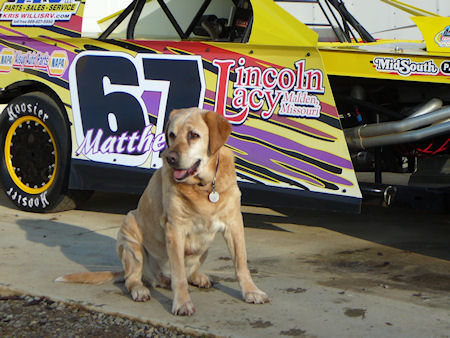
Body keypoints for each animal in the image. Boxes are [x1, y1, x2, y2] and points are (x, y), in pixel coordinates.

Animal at [55, 109, 268, 316]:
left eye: (193, 135)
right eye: (172, 135)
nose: (170, 158)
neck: (204, 187)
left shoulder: (234, 224)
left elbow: (241, 264)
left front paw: (251, 291)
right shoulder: (175, 228)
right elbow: (179, 275)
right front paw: (182, 303)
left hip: (203, 248)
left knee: (187, 273)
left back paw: (198, 277)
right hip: (130, 233)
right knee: (132, 279)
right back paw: (140, 289)